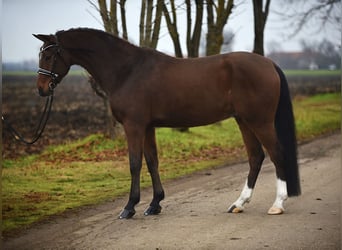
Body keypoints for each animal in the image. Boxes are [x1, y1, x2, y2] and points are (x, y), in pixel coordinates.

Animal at [33, 27, 300, 219]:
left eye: (48, 55)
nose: (42, 89)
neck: (127, 71)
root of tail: (268, 63)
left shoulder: (134, 126)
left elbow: (134, 163)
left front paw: (129, 207)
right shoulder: (148, 127)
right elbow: (152, 162)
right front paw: (154, 204)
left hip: (260, 121)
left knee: (277, 154)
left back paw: (277, 205)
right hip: (244, 120)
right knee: (256, 157)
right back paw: (238, 204)